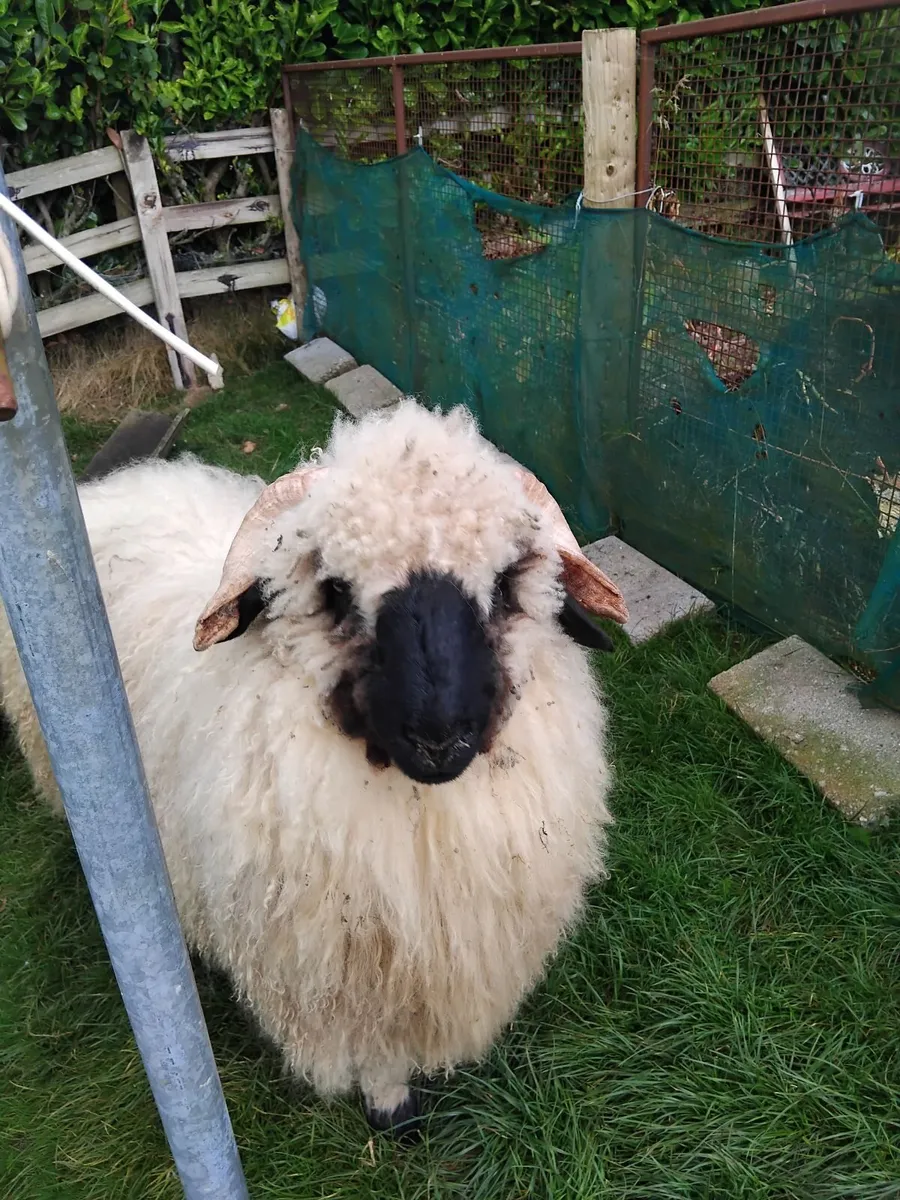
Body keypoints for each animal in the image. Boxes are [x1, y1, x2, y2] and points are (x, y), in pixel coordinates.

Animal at [0, 399, 628, 1136]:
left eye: (504, 585)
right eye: (334, 590)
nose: (439, 737)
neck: (422, 822)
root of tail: (108, 489)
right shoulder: (328, 978)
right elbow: (374, 1056)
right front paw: (393, 1109)